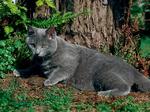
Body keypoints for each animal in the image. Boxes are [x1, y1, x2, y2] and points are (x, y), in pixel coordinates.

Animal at [13, 26, 149, 96]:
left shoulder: (69, 64)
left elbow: (59, 72)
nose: (36, 52)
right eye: (33, 45)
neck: (45, 59)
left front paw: (49, 81)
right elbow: (32, 67)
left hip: (104, 73)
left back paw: (103, 94)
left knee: (125, 88)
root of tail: (134, 71)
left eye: (44, 46)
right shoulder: (37, 64)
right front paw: (19, 71)